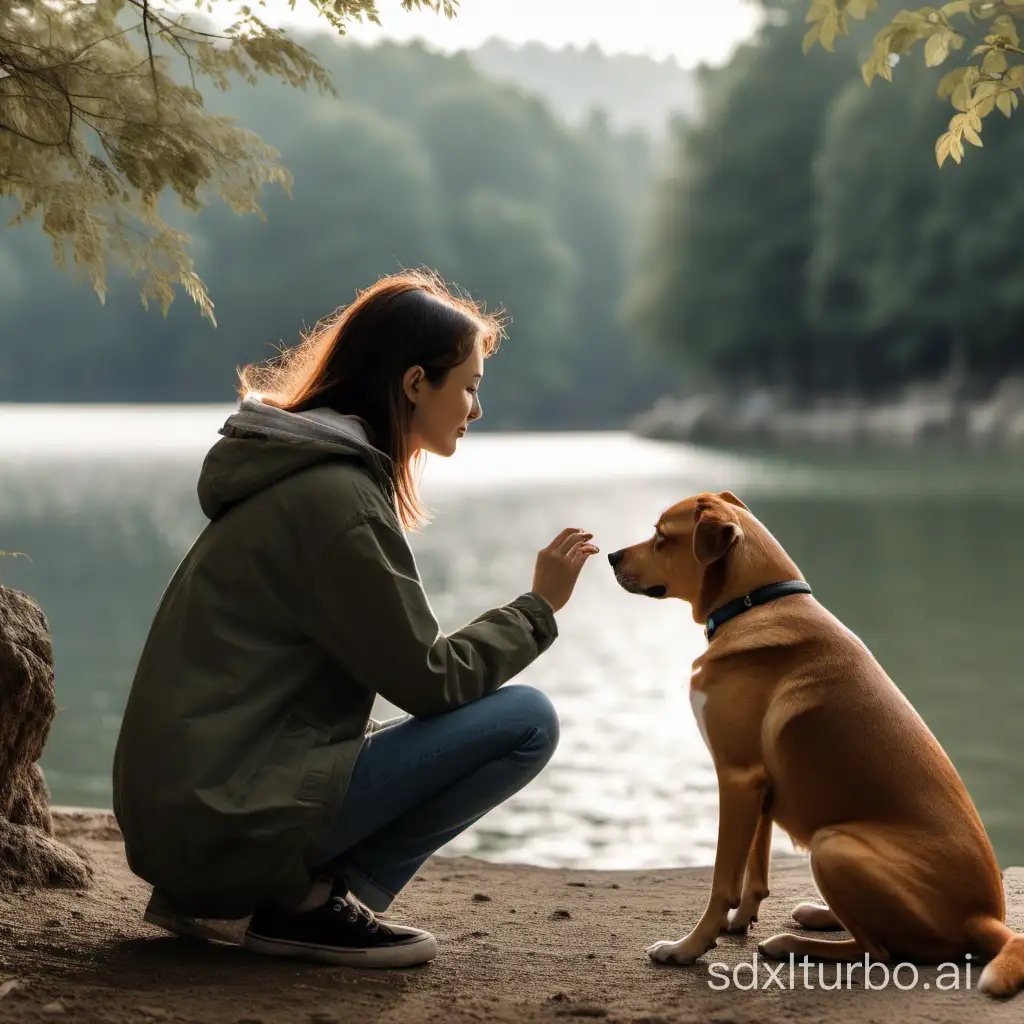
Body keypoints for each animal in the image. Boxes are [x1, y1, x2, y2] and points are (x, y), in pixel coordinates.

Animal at [606, 491, 1024, 995]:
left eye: (662, 537)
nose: (610, 556)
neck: (753, 605)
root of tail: (986, 919)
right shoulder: (760, 785)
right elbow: (755, 869)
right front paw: (739, 922)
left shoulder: (737, 776)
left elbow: (723, 880)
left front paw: (688, 948)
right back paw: (817, 914)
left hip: (832, 845)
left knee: (879, 952)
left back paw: (793, 945)